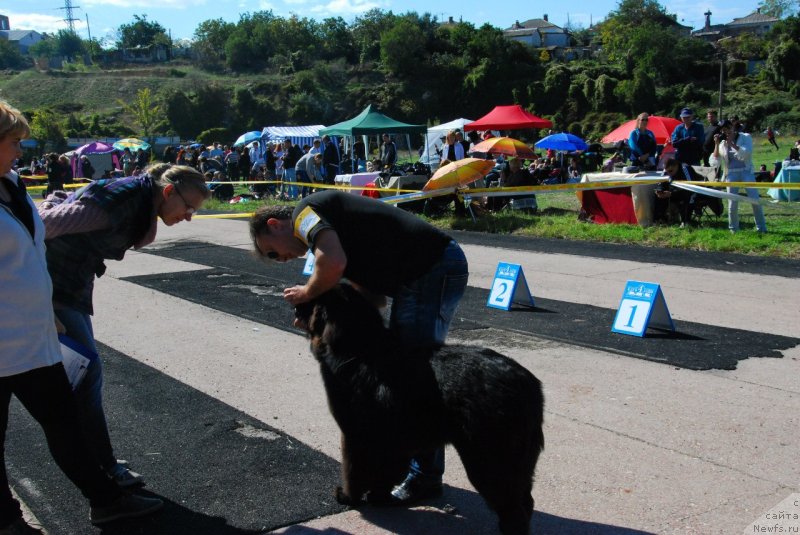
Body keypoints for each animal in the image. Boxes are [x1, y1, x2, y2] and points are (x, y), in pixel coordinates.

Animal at [296, 284, 548, 535]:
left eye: (310, 297)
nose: (295, 302)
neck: (358, 349)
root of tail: (530, 385)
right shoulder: (392, 440)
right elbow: (384, 472)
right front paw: (380, 497)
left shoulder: (354, 435)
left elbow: (353, 472)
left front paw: (348, 497)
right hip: (519, 463)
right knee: (526, 502)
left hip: (490, 460)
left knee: (514, 511)